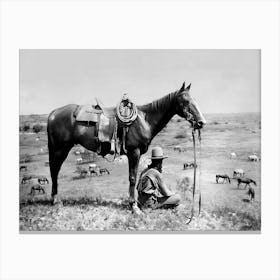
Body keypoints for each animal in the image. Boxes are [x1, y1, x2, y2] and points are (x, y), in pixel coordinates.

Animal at [47, 81, 206, 212]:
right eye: (186, 101)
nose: (201, 122)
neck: (144, 119)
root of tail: (53, 113)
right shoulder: (134, 152)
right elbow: (133, 178)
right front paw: (133, 206)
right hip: (60, 149)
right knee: (55, 170)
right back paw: (56, 200)